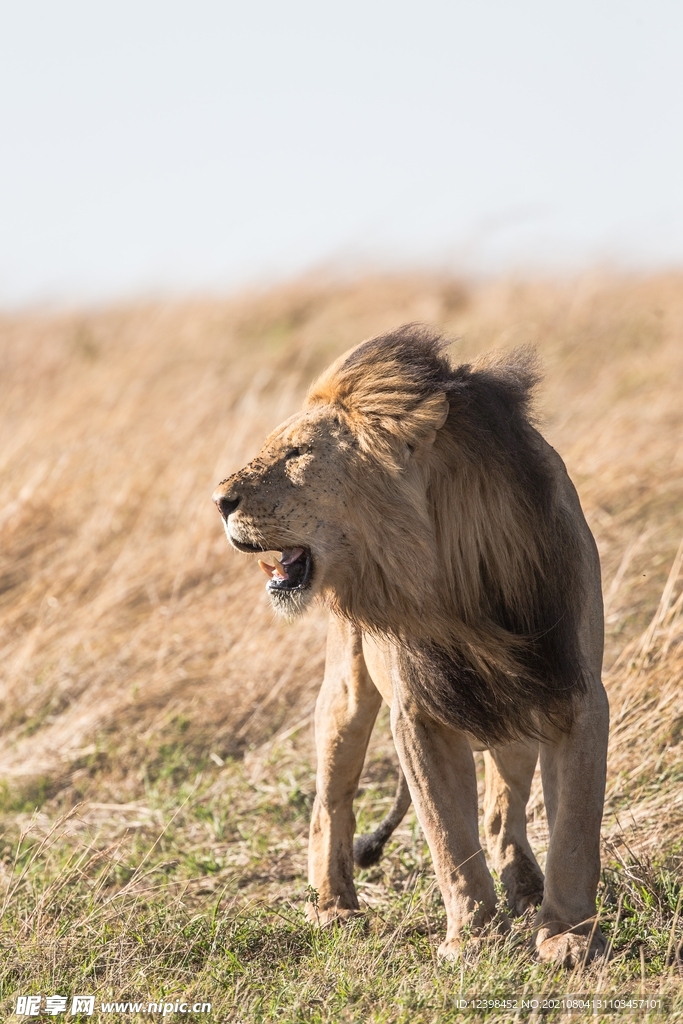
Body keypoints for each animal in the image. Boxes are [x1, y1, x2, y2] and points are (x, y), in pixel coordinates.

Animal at [211, 327, 610, 966]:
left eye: (297, 453)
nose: (218, 501)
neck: (455, 578)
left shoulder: (572, 692)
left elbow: (574, 829)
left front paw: (568, 937)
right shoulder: (419, 713)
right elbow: (448, 835)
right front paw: (472, 940)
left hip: (515, 715)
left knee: (501, 810)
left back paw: (525, 885)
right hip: (347, 692)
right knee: (330, 802)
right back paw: (335, 907)